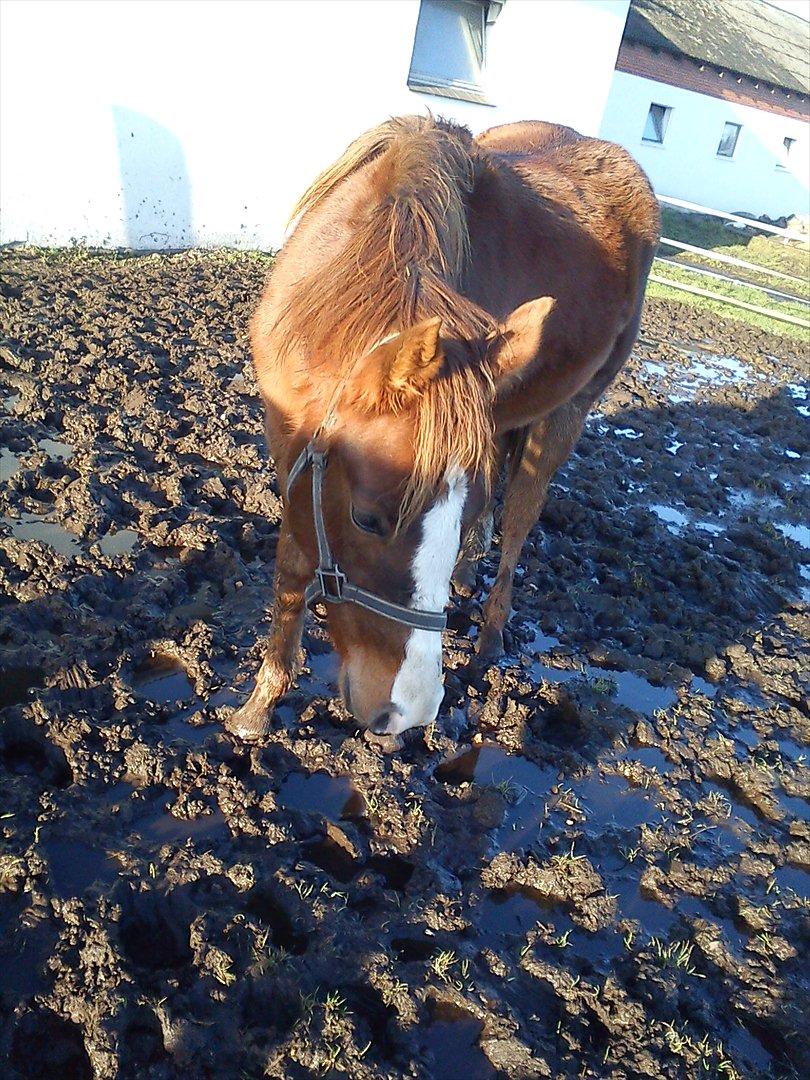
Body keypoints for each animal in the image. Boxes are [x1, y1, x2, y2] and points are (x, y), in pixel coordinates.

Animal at [226, 116, 660, 743]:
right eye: (366, 518)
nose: (409, 711)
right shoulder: (289, 439)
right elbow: (291, 566)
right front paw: (259, 703)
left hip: (565, 416)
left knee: (519, 520)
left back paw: (490, 635)